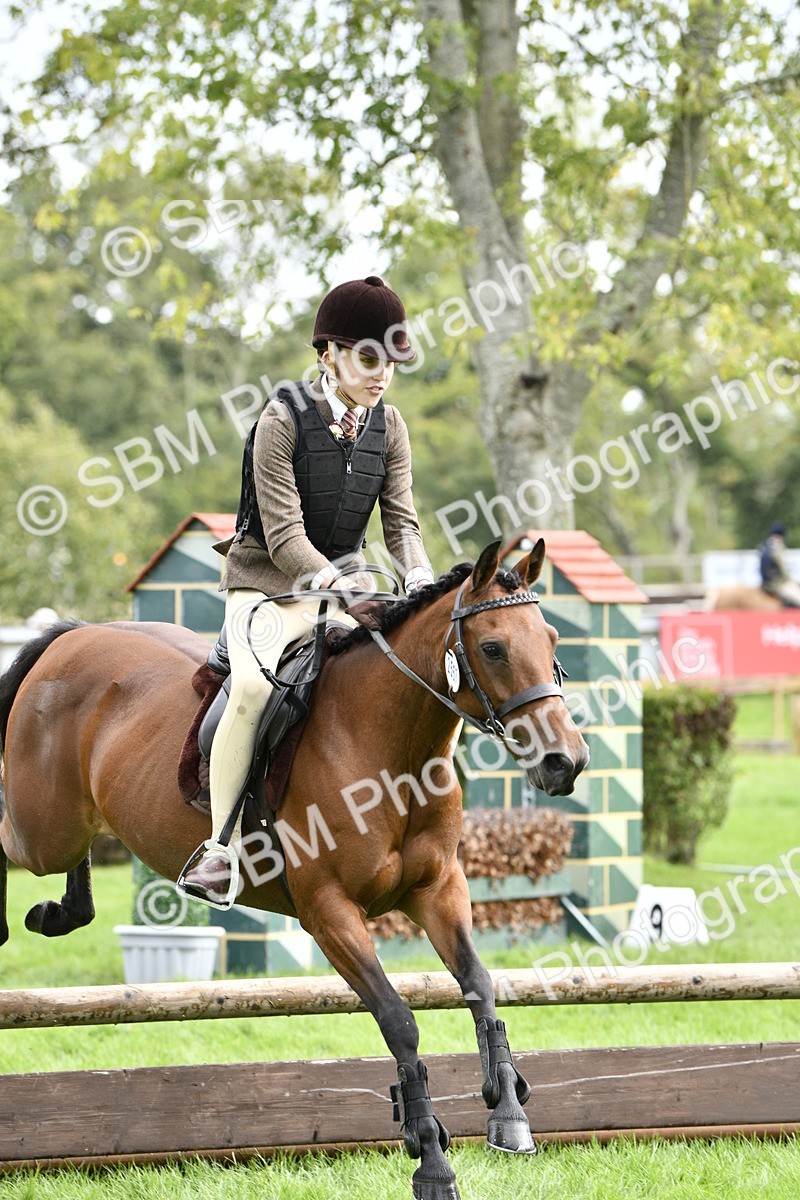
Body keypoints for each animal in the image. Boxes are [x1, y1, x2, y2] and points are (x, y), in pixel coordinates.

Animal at [0, 539, 588, 1200]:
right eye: (492, 648)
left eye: (552, 639)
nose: (565, 762)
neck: (389, 744)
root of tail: (73, 634)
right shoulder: (329, 912)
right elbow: (399, 1020)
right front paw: (431, 1161)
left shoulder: (437, 890)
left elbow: (480, 986)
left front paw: (508, 1113)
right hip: (41, 829)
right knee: (13, 835)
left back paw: (62, 912)